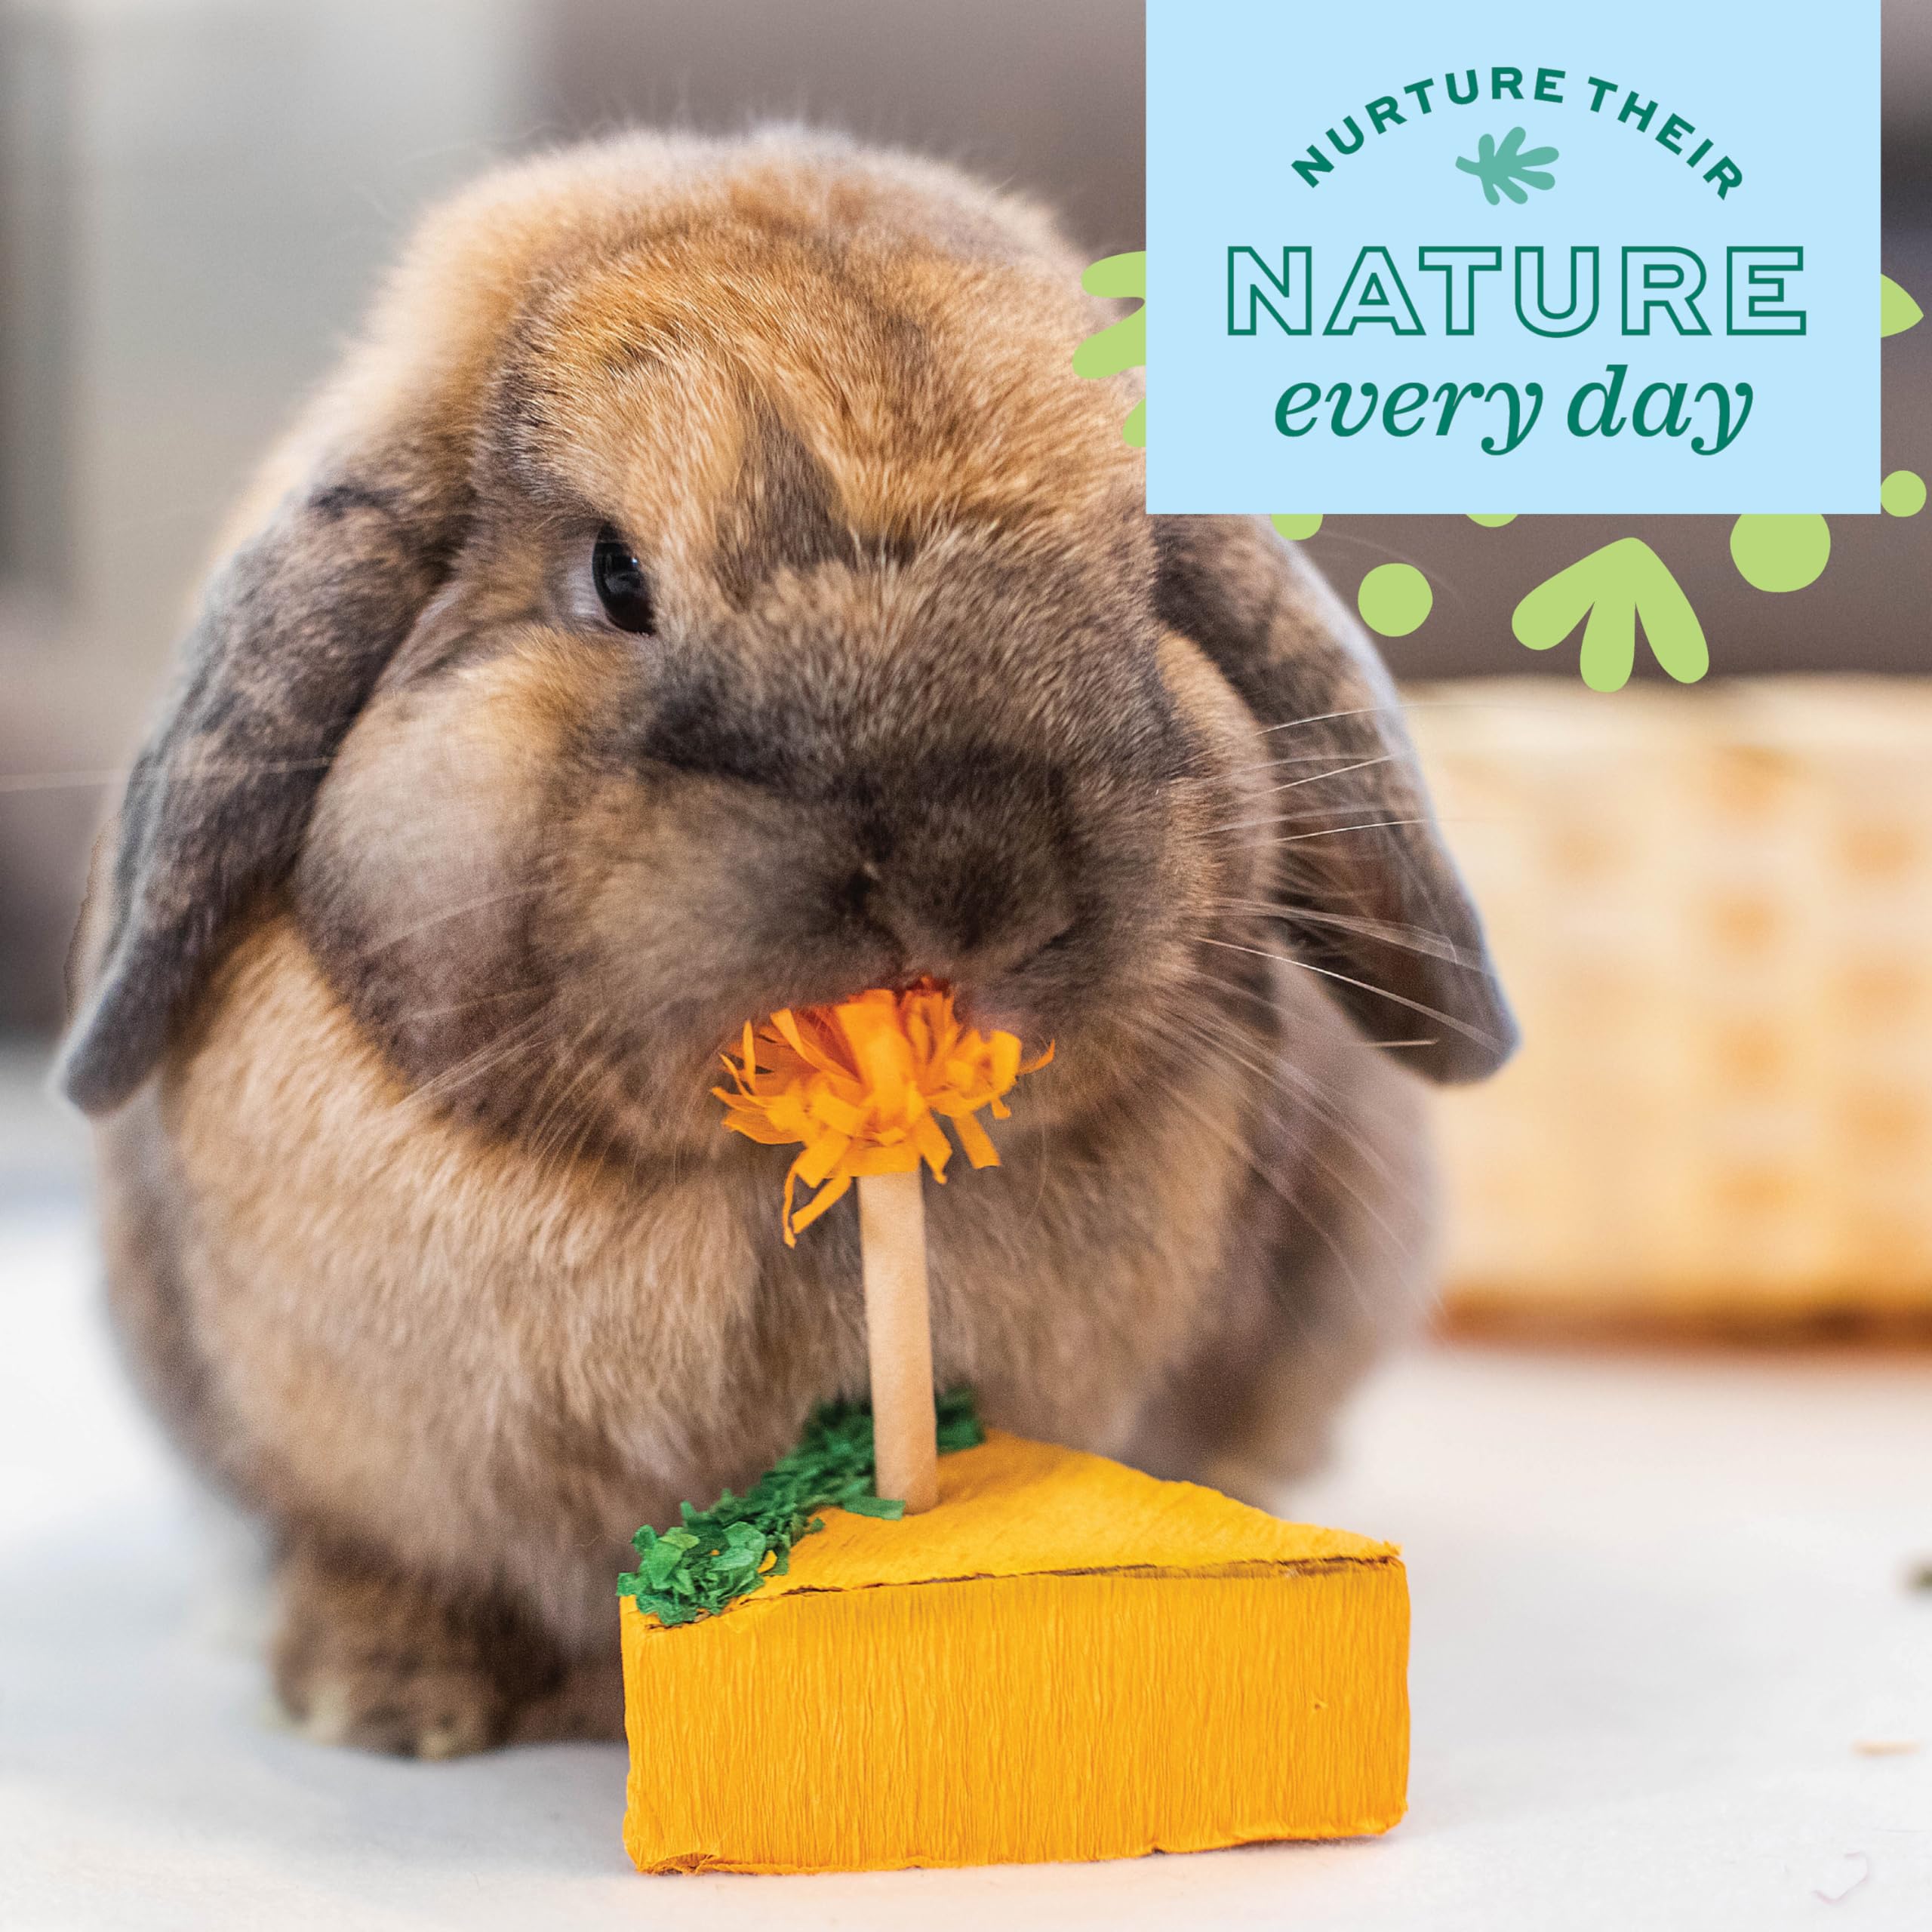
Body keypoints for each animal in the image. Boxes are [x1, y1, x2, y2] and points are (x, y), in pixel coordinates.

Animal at [59, 127, 1515, 1758]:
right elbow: (381, 1556)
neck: (729, 1204)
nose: (971, 882)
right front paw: (382, 1702)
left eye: (1142, 589)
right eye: (615, 579)